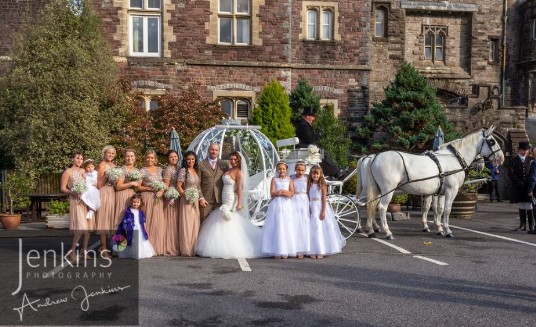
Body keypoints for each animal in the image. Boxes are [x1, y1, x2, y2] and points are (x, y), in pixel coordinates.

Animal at [364, 127, 502, 240]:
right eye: (492, 141)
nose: (501, 158)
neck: (454, 158)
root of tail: (375, 157)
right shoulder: (451, 190)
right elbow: (447, 209)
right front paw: (447, 230)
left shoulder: (441, 192)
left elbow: (438, 209)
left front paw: (439, 228)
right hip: (388, 190)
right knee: (382, 207)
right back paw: (387, 232)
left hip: (378, 190)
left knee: (371, 205)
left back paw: (371, 230)